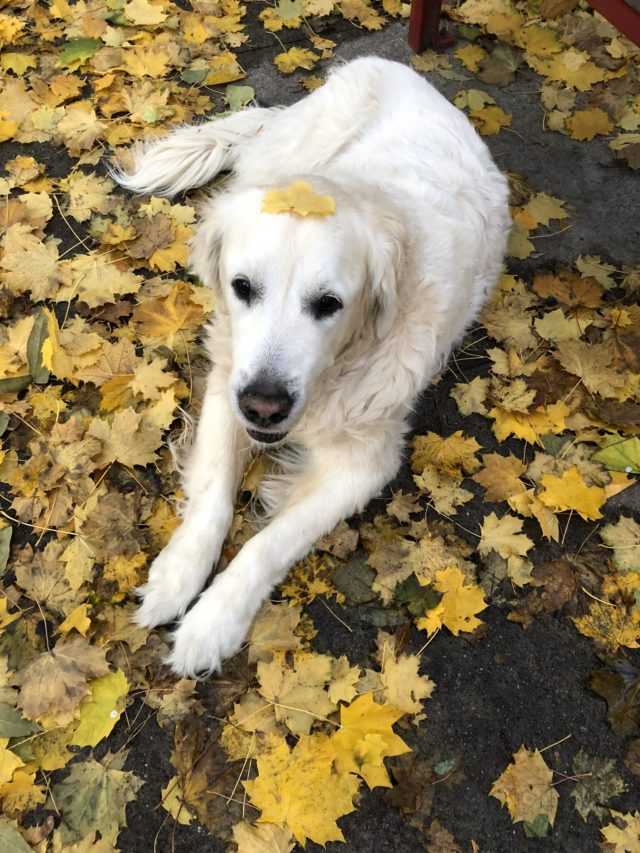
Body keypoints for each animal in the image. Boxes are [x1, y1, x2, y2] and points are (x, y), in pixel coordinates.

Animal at [115, 56, 510, 676]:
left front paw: (211, 622)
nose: (265, 405)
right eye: (242, 287)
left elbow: (269, 542)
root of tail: (389, 65)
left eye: (329, 304)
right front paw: (177, 575)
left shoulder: (366, 462)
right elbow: (214, 496)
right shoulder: (227, 386)